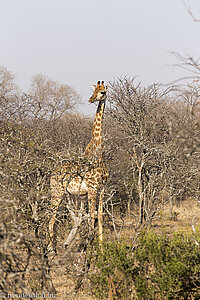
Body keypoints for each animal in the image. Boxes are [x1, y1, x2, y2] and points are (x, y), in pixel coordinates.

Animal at [48, 81, 108, 250]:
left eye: (102, 92)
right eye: (93, 90)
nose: (91, 99)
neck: (98, 155)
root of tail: (52, 173)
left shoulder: (102, 189)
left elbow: (99, 216)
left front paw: (101, 247)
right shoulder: (92, 190)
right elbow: (91, 217)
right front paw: (90, 247)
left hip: (65, 194)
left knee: (55, 219)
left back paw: (54, 248)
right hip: (56, 192)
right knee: (51, 218)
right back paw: (50, 249)